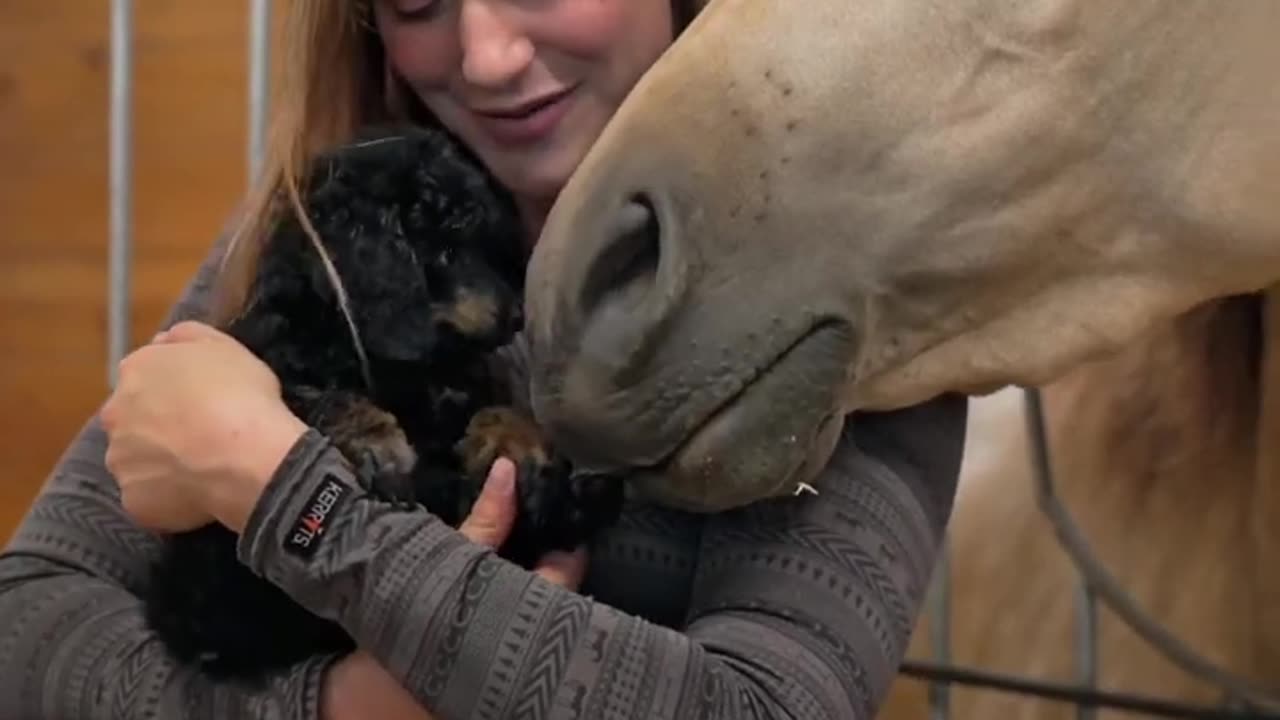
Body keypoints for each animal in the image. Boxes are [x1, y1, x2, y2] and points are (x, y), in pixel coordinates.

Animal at [145, 122, 624, 681]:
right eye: (445, 247)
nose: (516, 318)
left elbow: (493, 404)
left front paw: (518, 444)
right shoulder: (274, 364)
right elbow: (321, 396)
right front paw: (379, 445)